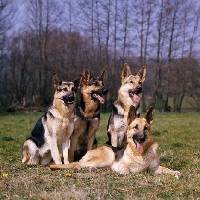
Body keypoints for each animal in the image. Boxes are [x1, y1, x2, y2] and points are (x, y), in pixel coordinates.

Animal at [49, 106, 180, 178]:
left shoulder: (154, 168)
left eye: (146, 128)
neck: (140, 154)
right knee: (77, 164)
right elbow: (126, 168)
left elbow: (165, 169)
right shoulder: (119, 164)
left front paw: (174, 172)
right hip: (108, 156)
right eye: (136, 127)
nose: (141, 139)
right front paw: (124, 172)